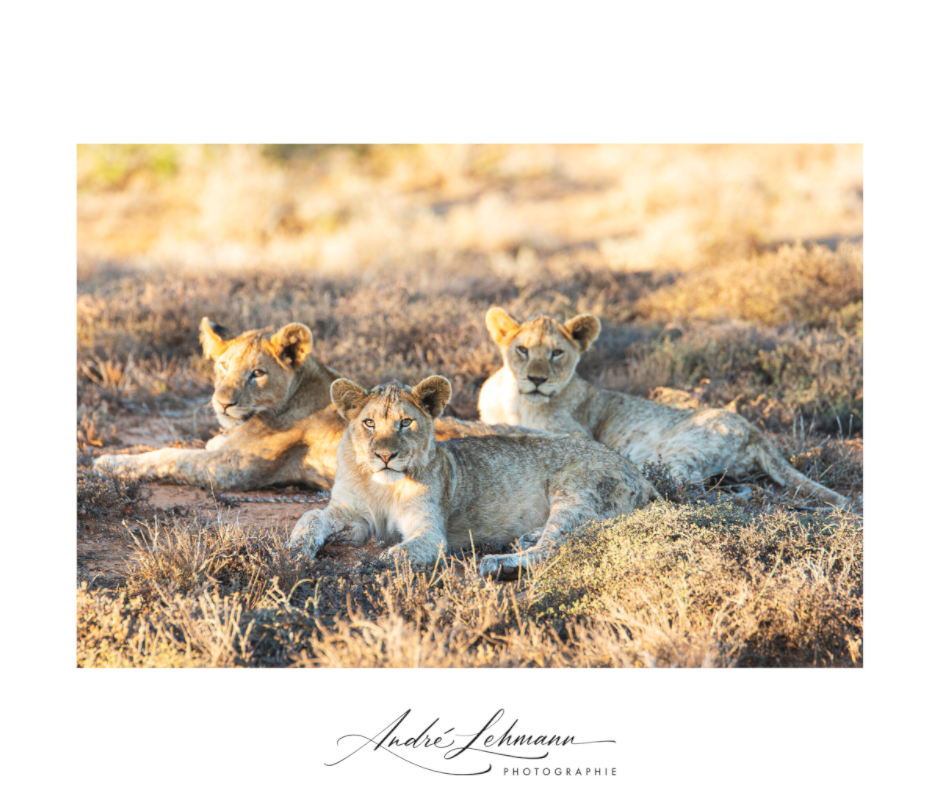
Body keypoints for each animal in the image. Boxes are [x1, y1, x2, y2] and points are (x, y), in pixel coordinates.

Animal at [94, 318, 525, 492]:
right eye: (223, 365)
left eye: (257, 373)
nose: (223, 403)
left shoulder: (231, 470)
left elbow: (168, 456)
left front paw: (109, 462)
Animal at [287, 376, 660, 579]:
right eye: (368, 423)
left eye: (405, 422)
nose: (385, 456)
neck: (381, 486)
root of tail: (641, 476)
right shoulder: (355, 517)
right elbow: (311, 516)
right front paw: (294, 550)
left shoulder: (430, 531)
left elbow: (399, 553)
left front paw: (377, 564)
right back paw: (526, 538)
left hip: (573, 489)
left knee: (554, 547)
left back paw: (500, 563)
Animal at [478, 308, 849, 508]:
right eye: (522, 350)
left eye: (557, 353)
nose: (536, 379)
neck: (517, 401)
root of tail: (756, 430)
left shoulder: (572, 434)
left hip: (675, 451)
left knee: (685, 486)